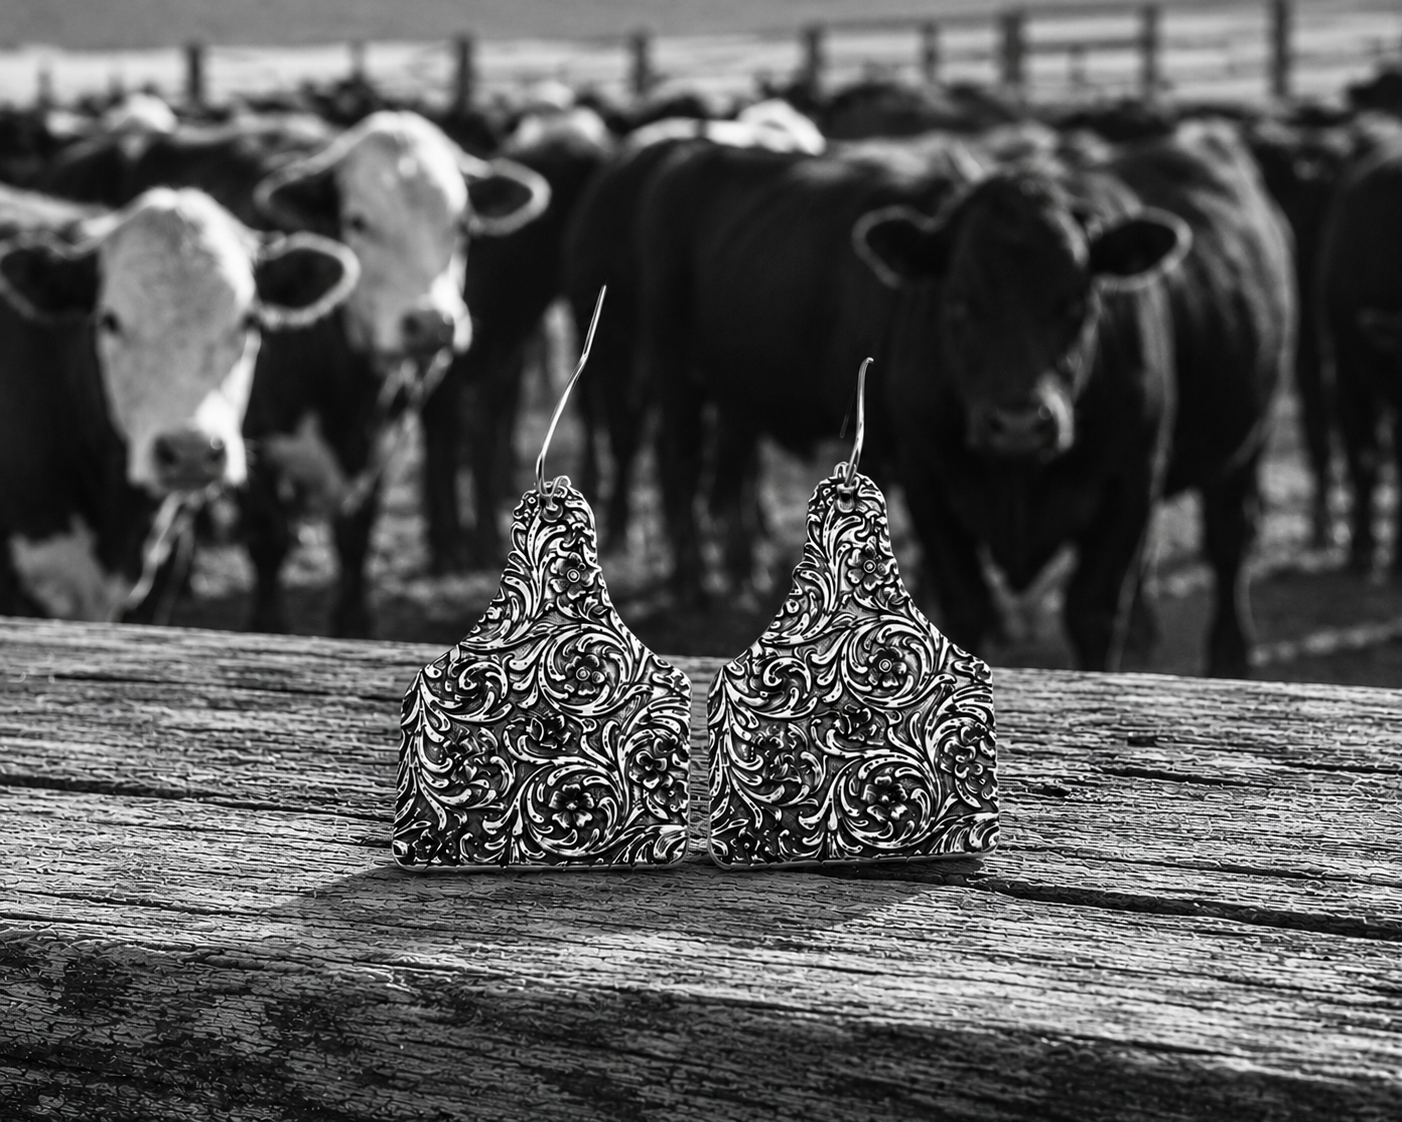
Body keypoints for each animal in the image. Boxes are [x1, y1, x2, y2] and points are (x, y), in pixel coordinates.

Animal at [38, 110, 551, 635]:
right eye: (357, 221)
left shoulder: (389, 431)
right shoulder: (253, 436)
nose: (432, 324)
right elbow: (268, 537)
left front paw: (353, 621)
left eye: (463, 224)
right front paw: (269, 622)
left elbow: (356, 532)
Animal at [856, 121, 1293, 676]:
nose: (1020, 423)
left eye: (1078, 302)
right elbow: (965, 605)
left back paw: (1230, 654)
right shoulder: (926, 478)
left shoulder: (1130, 476)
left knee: (1229, 539)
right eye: (959, 302)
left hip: (1249, 441)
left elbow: (1093, 611)